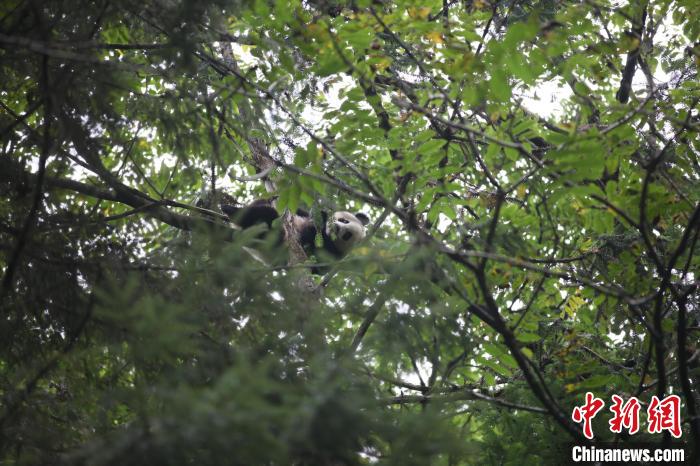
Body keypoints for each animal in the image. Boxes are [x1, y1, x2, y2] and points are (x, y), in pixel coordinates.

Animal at [221, 199, 370, 274]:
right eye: (344, 220)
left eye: (347, 235)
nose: (336, 228)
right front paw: (321, 216)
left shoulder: (332, 255)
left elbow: (318, 266)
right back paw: (229, 209)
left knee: (267, 216)